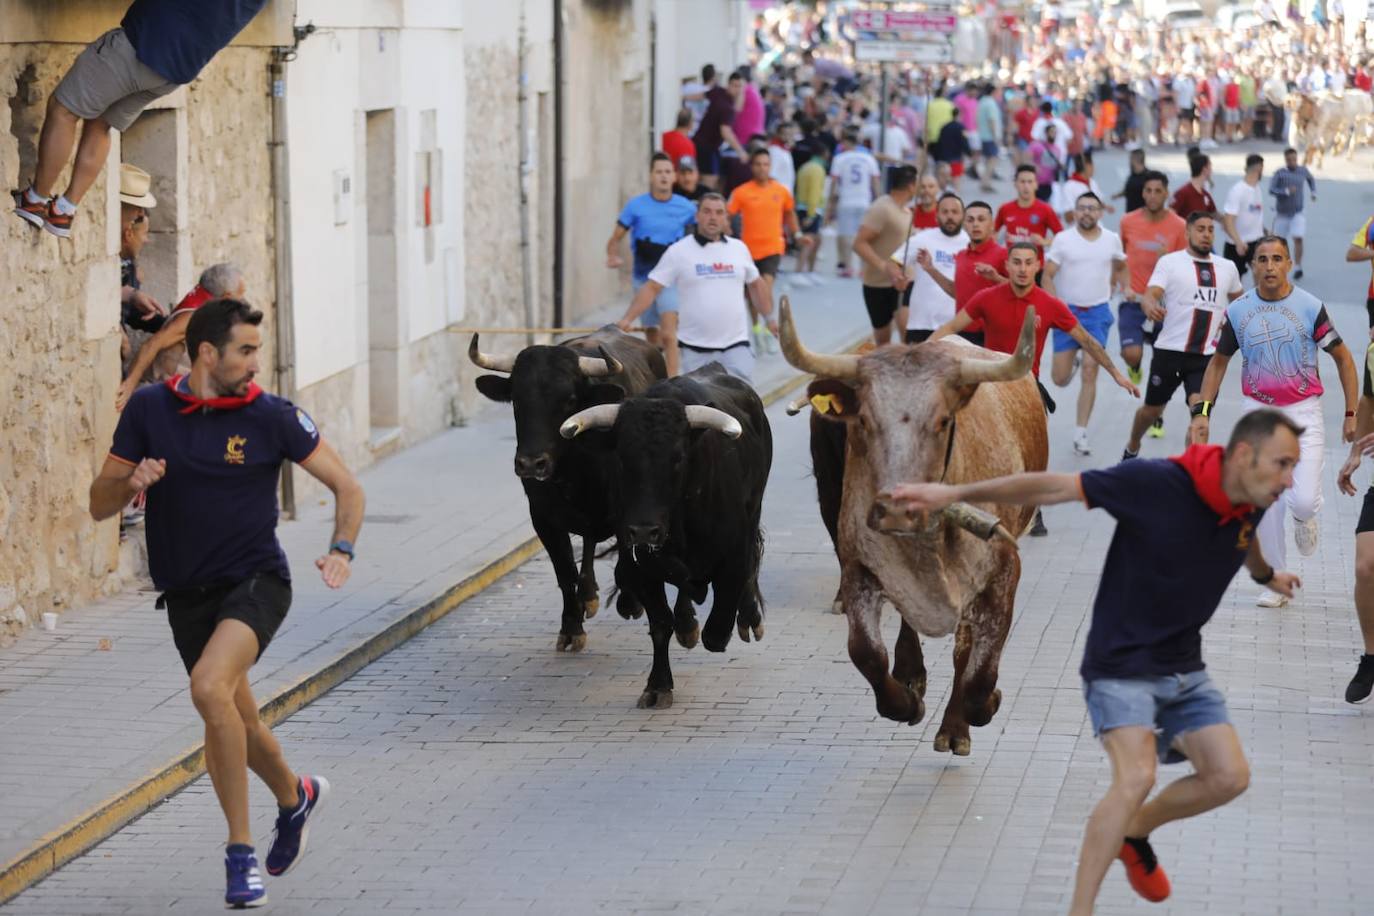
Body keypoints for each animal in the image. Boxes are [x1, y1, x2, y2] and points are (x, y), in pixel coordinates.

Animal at [469, 328, 667, 650]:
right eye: (516, 400)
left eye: (569, 400)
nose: (531, 463)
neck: (576, 465)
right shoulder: (543, 518)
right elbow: (564, 571)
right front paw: (572, 626)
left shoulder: (627, 511)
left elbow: (626, 559)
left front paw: (630, 601)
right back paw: (588, 593)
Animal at [557, 365, 774, 708]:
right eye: (621, 458)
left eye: (678, 458)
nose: (645, 530)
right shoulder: (641, 568)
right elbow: (660, 624)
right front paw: (658, 686)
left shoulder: (733, 555)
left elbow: (718, 628)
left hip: (755, 508)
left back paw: (748, 618)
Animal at [780, 298, 1044, 758]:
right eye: (864, 421)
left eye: (942, 421)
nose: (897, 509)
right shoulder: (859, 565)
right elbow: (866, 652)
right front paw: (905, 701)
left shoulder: (1002, 574)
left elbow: (978, 673)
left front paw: (982, 707)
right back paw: (912, 674)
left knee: (964, 653)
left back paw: (954, 726)